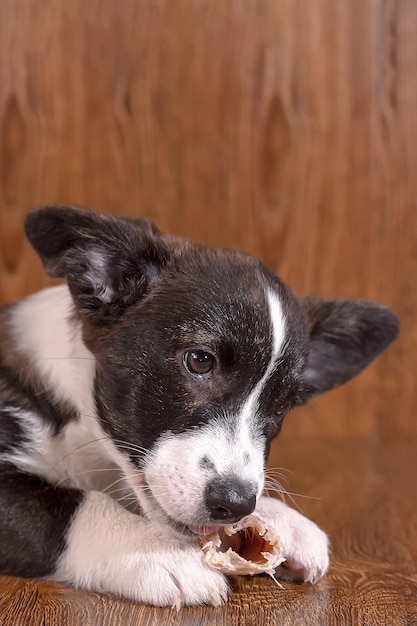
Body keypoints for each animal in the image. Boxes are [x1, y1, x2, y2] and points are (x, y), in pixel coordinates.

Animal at [0, 206, 396, 604]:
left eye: (282, 405)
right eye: (200, 361)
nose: (234, 503)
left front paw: (283, 519)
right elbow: (72, 505)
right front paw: (157, 553)